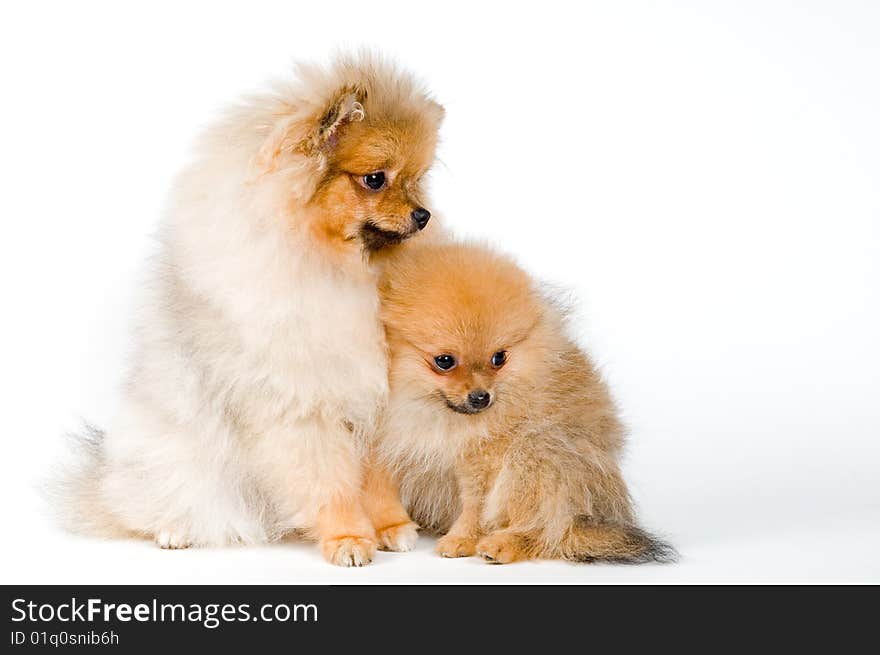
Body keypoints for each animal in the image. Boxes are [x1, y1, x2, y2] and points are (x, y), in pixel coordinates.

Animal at [55, 53, 444, 568]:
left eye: (417, 181)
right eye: (375, 179)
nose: (423, 215)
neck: (340, 271)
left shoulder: (379, 402)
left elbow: (378, 478)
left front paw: (389, 526)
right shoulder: (301, 405)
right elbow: (331, 481)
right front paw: (347, 537)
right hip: (173, 448)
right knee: (152, 497)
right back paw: (174, 529)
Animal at [372, 243, 672, 568]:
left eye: (499, 358)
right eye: (445, 361)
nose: (481, 397)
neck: (440, 414)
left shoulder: (482, 464)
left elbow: (475, 509)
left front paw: (461, 539)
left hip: (540, 453)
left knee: (548, 530)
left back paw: (503, 544)